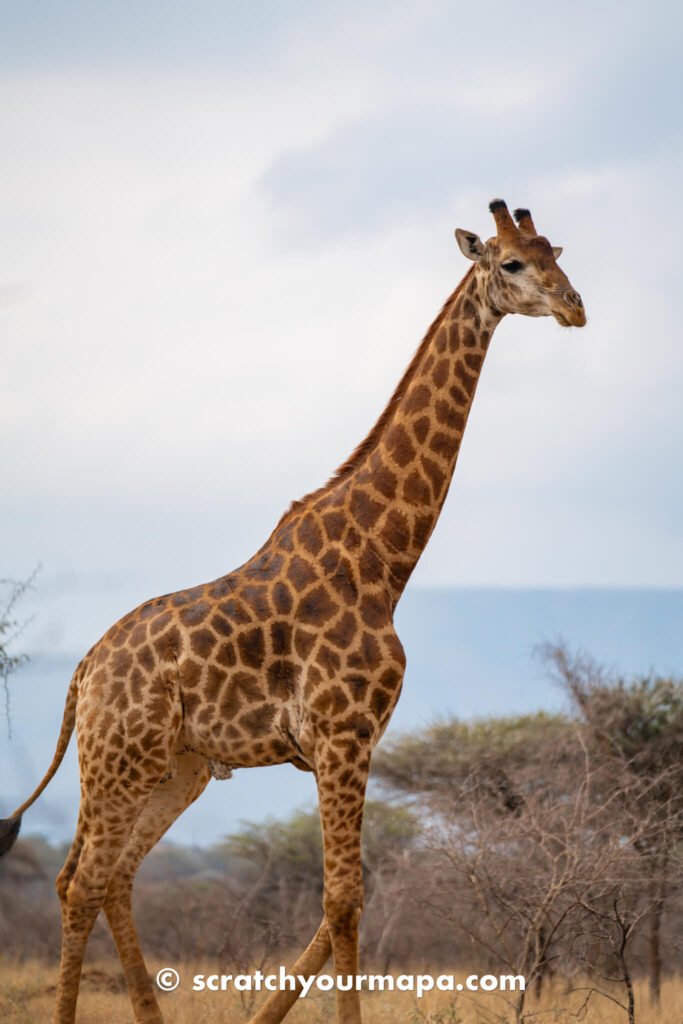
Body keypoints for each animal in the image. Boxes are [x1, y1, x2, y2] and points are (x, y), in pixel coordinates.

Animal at [0, 199, 585, 1024]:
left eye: (556, 252)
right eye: (510, 262)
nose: (574, 307)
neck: (381, 565)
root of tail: (84, 670)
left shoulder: (345, 744)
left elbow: (336, 904)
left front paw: (261, 1018)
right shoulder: (342, 735)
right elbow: (344, 900)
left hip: (176, 767)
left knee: (107, 877)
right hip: (120, 758)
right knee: (81, 881)